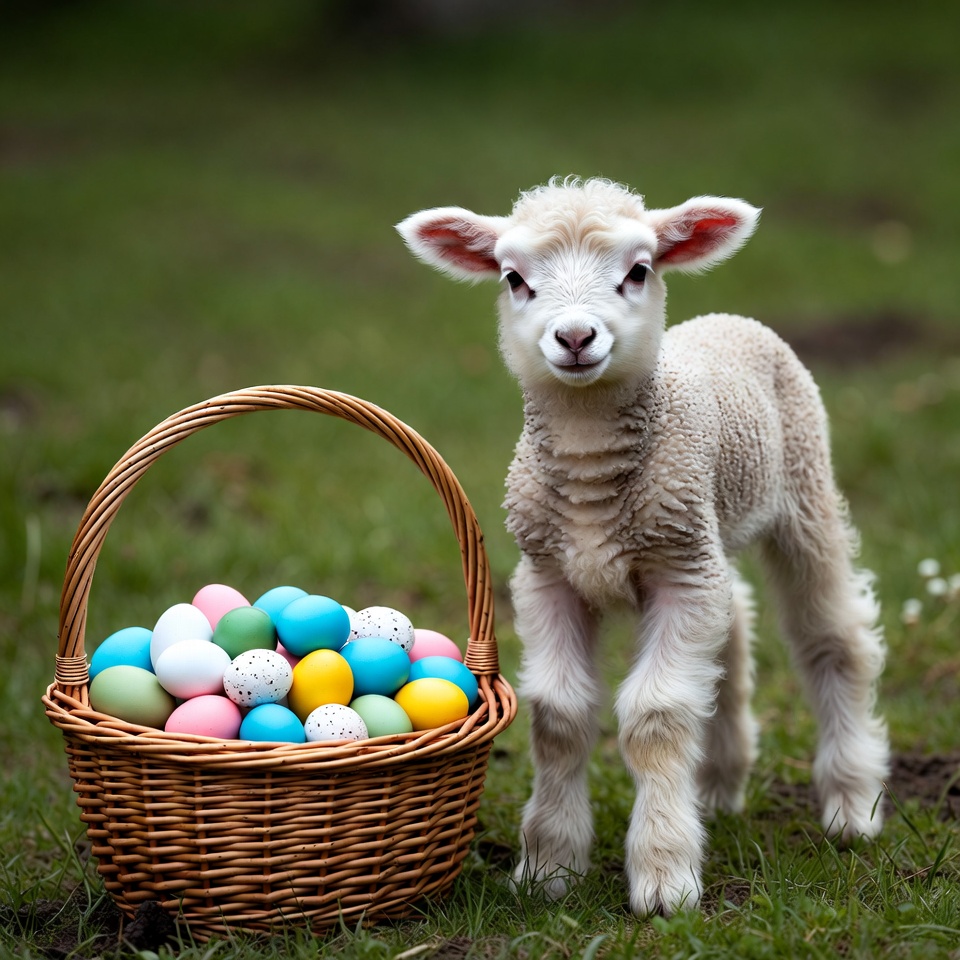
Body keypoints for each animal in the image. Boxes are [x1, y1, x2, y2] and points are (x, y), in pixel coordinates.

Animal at [396, 177, 890, 917]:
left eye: (638, 271)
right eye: (514, 279)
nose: (575, 337)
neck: (589, 465)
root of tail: (724, 319)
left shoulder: (678, 577)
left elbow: (655, 718)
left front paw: (664, 879)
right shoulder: (549, 575)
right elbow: (560, 716)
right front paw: (548, 869)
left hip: (802, 490)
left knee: (832, 636)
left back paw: (853, 806)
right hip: (706, 532)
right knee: (735, 622)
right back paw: (717, 784)